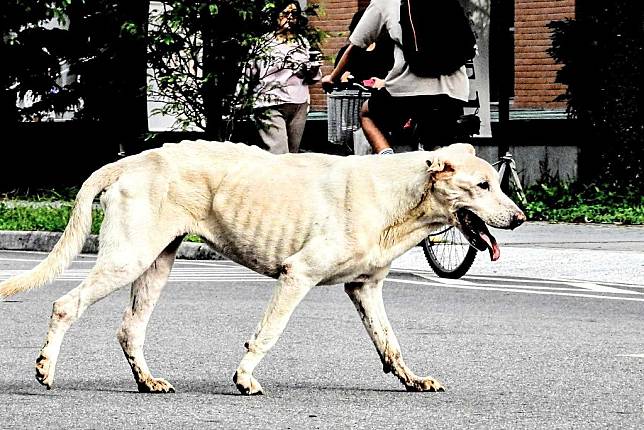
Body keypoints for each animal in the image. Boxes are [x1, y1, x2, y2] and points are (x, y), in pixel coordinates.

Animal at [0, 139, 524, 394]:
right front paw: (244, 377)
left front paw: (412, 380)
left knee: (130, 329)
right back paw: (45, 370)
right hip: (127, 258)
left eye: (497, 182)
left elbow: (390, 343)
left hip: (157, 263)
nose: (520, 218)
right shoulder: (298, 275)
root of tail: (134, 159)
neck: (401, 197)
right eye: (483, 185)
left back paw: (147, 382)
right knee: (66, 304)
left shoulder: (366, 288)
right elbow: (268, 333)